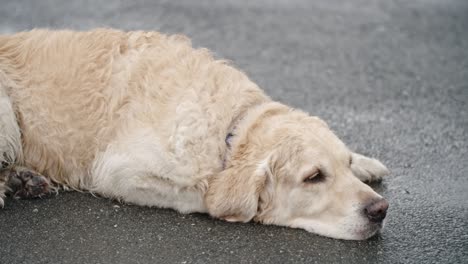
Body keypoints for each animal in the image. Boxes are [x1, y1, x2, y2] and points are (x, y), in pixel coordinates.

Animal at [0, 28, 390, 239]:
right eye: (314, 177)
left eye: (344, 164)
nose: (380, 209)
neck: (230, 126)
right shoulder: (117, 171)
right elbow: (200, 194)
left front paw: (366, 163)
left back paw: (23, 180)